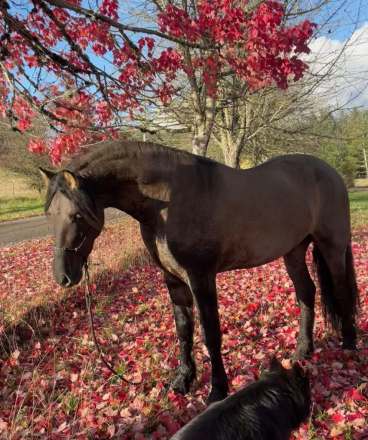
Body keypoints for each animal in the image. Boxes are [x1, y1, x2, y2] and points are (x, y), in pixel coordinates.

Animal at [40, 143, 360, 404]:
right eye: (50, 215)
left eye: (77, 215)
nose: (62, 277)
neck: (167, 200)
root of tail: (330, 172)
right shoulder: (174, 280)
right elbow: (184, 329)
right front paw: (184, 380)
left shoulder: (201, 278)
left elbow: (210, 334)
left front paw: (217, 390)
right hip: (293, 252)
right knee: (307, 293)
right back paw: (303, 351)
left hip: (332, 248)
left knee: (341, 290)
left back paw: (348, 346)